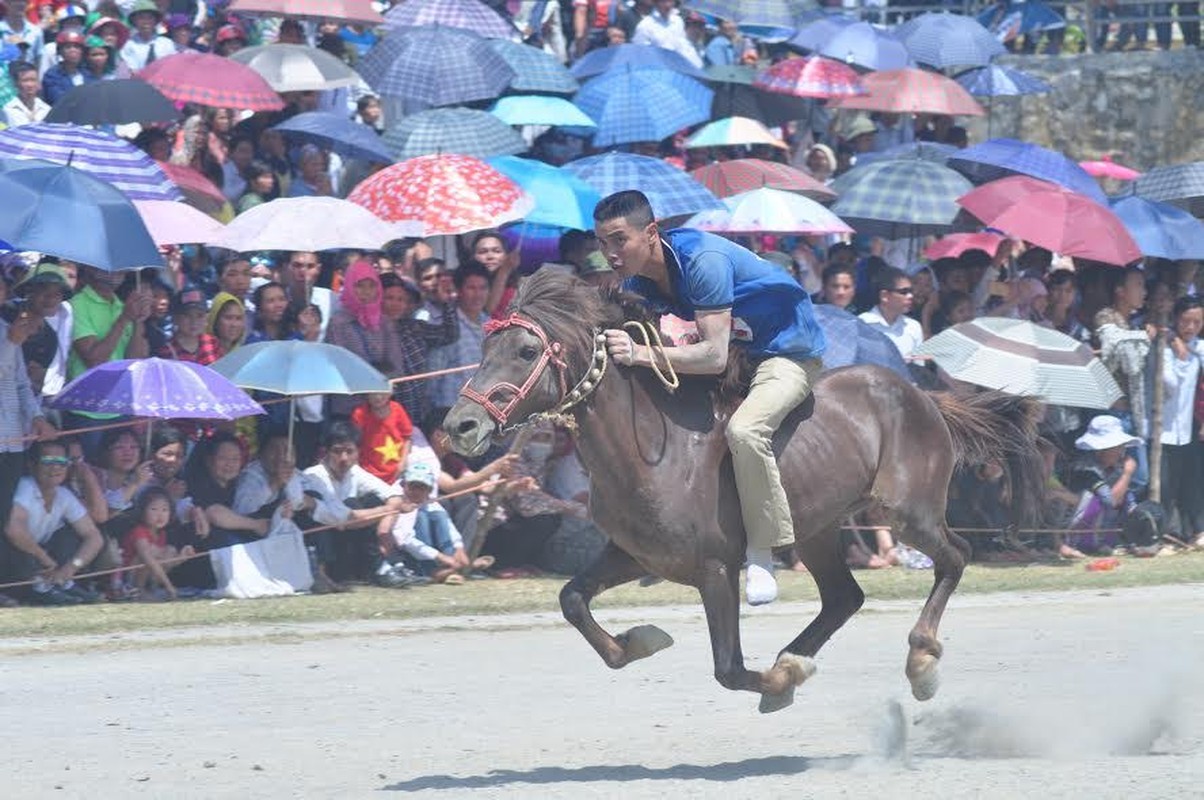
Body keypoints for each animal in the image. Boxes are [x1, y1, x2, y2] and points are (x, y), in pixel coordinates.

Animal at [445, 269, 1045, 713]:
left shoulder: (715, 569)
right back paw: (795, 657)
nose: (459, 426)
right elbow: (572, 601)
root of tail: (923, 394)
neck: (654, 450)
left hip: (908, 512)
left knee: (955, 556)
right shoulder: (634, 554)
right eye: (485, 344)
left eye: (525, 351)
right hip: (819, 528)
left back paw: (919, 662)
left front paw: (778, 684)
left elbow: (729, 669)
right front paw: (642, 640)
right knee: (845, 597)